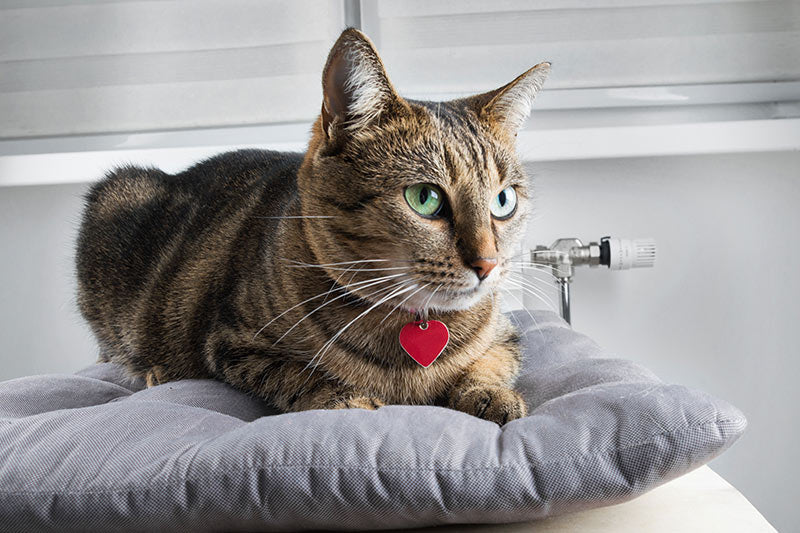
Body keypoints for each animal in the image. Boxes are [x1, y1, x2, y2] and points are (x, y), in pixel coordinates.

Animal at [75, 30, 552, 428]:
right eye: (424, 198)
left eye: (503, 201)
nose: (488, 264)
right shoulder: (234, 343)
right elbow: (296, 374)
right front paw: (344, 397)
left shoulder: (506, 337)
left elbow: (489, 364)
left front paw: (489, 393)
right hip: (118, 195)